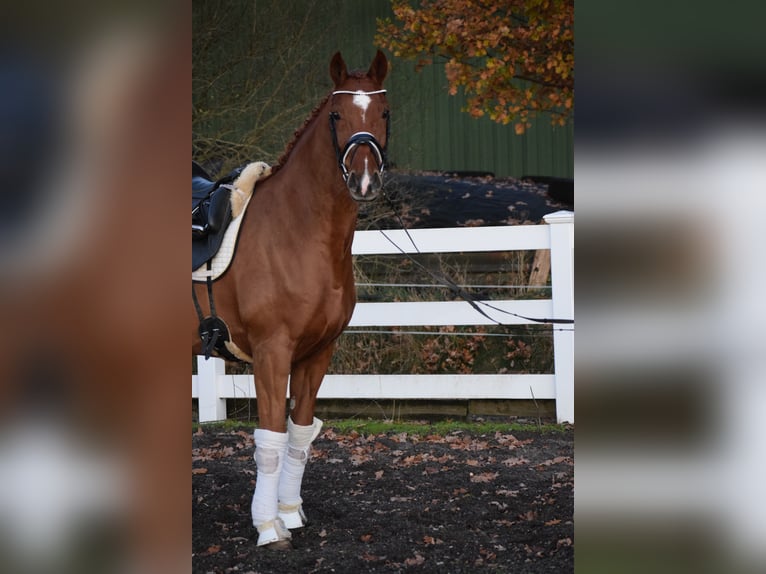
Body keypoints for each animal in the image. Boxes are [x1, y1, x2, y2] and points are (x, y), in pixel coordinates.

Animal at [192, 50, 389, 549]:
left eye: (384, 113)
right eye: (337, 115)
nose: (363, 180)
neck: (297, 231)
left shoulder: (317, 354)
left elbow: (299, 435)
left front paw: (289, 512)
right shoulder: (271, 352)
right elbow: (271, 439)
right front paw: (268, 526)